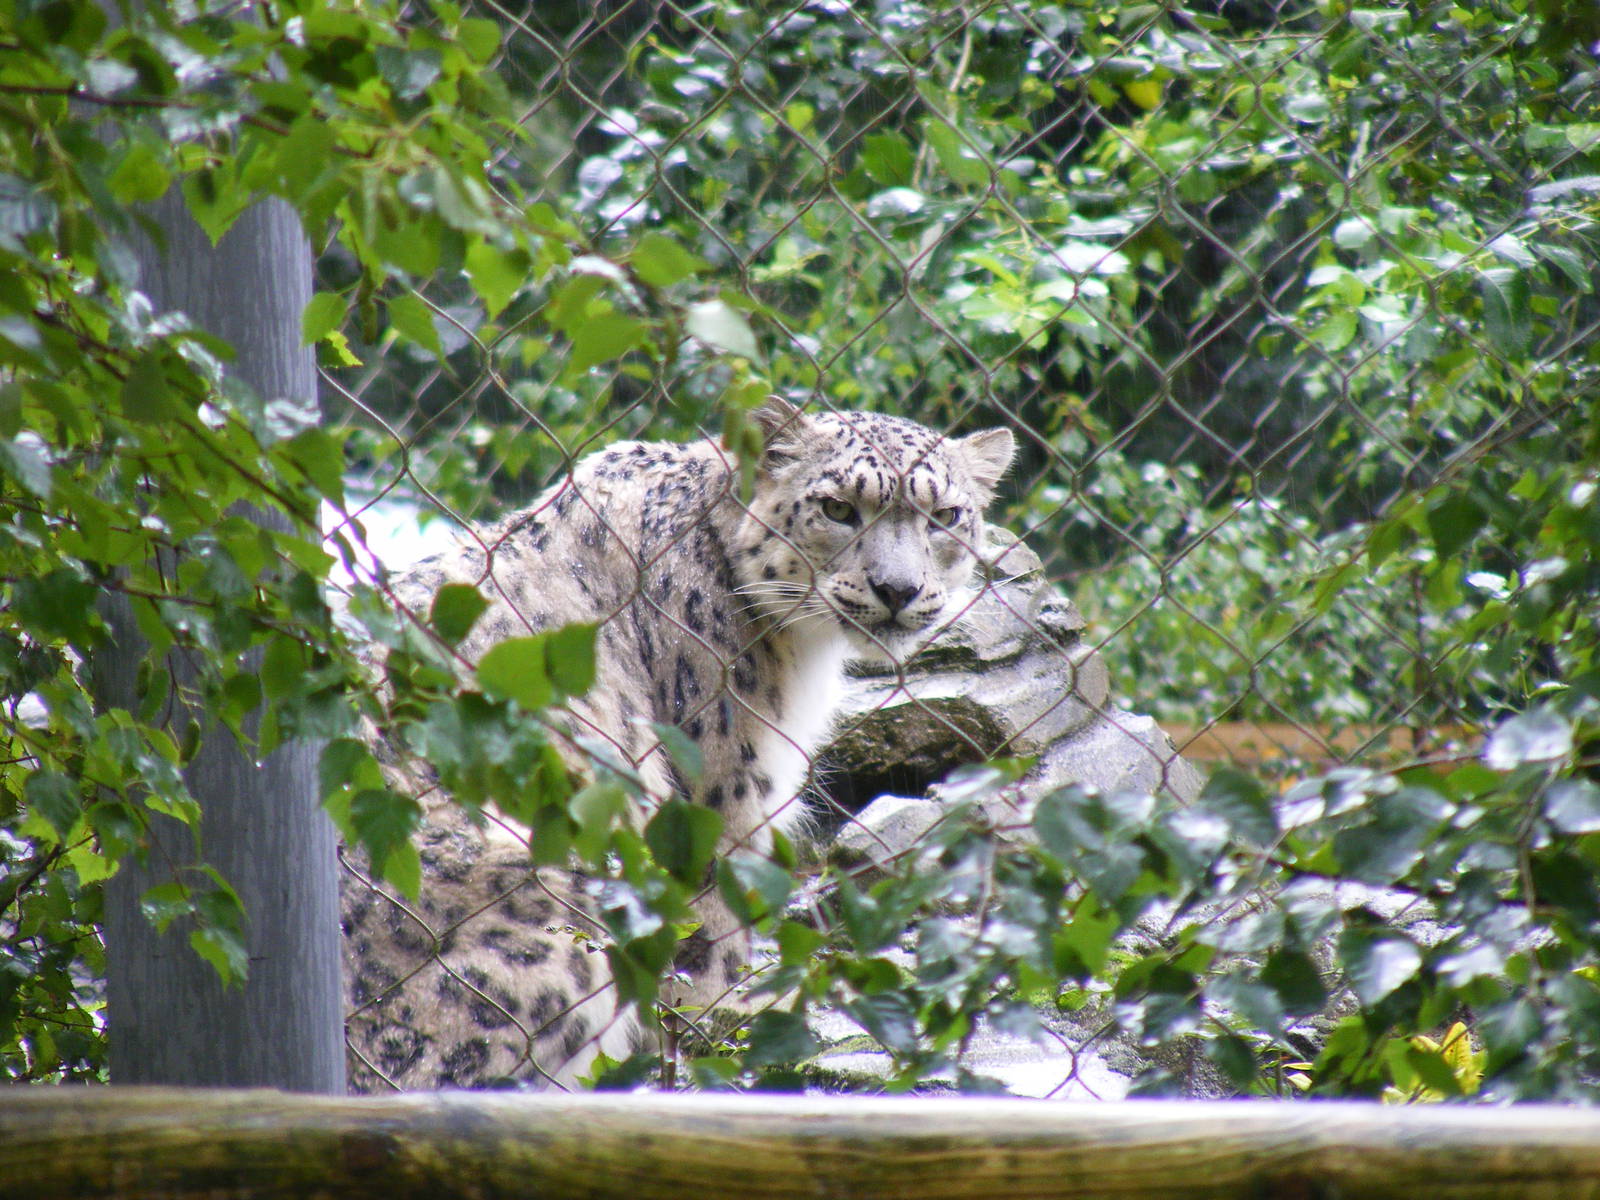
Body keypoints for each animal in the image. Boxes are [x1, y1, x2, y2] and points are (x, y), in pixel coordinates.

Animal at [341, 398, 1014, 1090]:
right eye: (836, 507)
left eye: (947, 516)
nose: (898, 590)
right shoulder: (725, 788)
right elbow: (713, 934)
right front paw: (727, 1021)